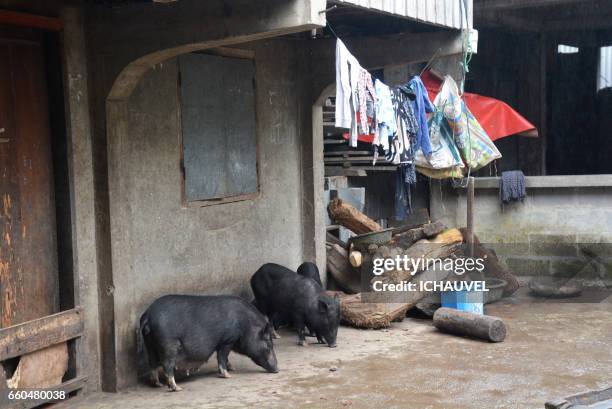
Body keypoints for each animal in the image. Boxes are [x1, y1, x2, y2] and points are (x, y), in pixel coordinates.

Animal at [139, 294, 278, 388]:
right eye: (268, 344)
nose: (277, 369)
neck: (245, 325)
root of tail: (148, 315)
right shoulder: (227, 340)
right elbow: (222, 356)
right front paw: (228, 375)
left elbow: (224, 357)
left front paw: (232, 369)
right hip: (169, 344)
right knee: (167, 365)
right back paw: (177, 388)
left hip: (149, 344)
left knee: (152, 363)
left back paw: (158, 384)